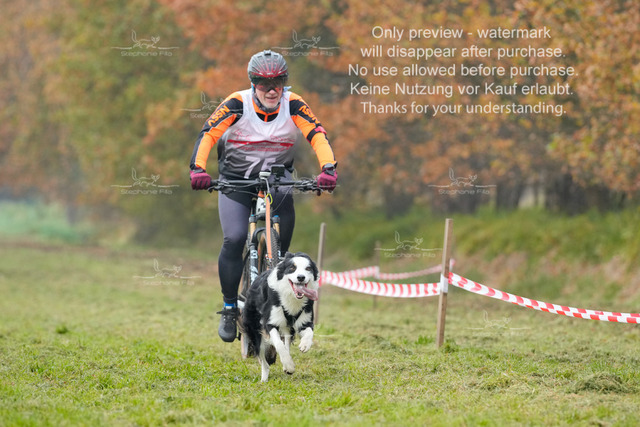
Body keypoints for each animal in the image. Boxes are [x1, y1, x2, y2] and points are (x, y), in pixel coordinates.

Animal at [241, 252, 319, 382]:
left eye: (308, 268)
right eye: (292, 268)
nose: (301, 277)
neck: (291, 296)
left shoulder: (305, 320)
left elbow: (309, 332)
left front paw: (305, 345)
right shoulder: (270, 323)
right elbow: (278, 344)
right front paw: (289, 365)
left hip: (287, 327)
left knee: (286, 341)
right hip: (254, 329)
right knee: (264, 359)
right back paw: (264, 379)